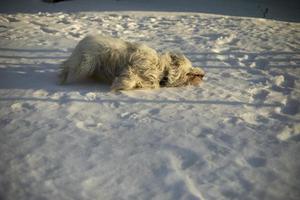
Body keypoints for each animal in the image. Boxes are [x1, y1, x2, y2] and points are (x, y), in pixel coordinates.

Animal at [59, 34, 204, 90]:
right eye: (190, 68)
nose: (203, 74)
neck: (163, 70)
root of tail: (85, 39)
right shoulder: (137, 66)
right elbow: (130, 76)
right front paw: (118, 85)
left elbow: (135, 81)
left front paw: (120, 84)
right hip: (85, 64)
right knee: (67, 67)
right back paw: (62, 80)